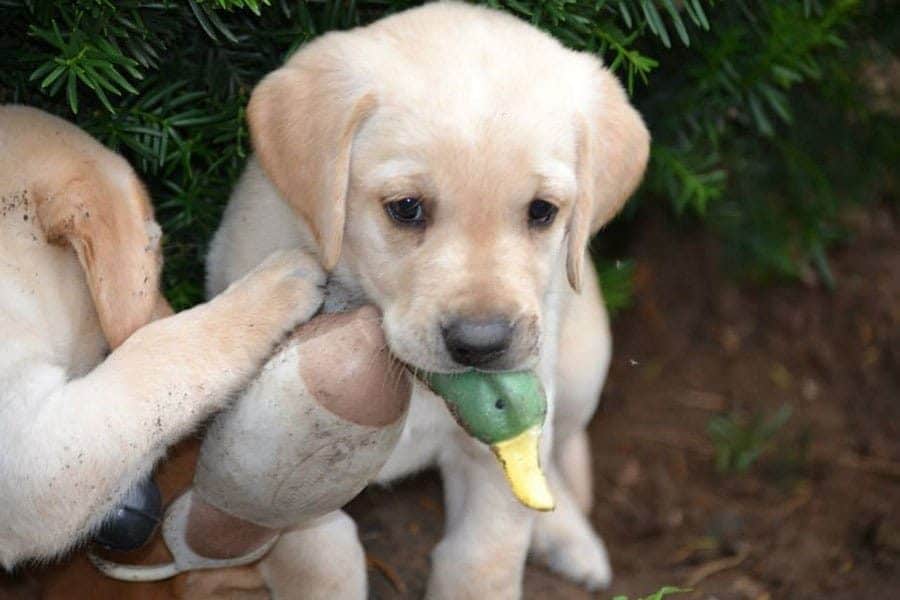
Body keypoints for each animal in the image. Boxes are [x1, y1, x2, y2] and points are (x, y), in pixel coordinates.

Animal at [208, 2, 652, 596]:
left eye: (542, 211)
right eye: (406, 208)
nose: (481, 344)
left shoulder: (494, 452)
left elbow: (482, 558)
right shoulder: (287, 472)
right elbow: (322, 558)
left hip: (582, 365)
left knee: (553, 459)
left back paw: (571, 539)